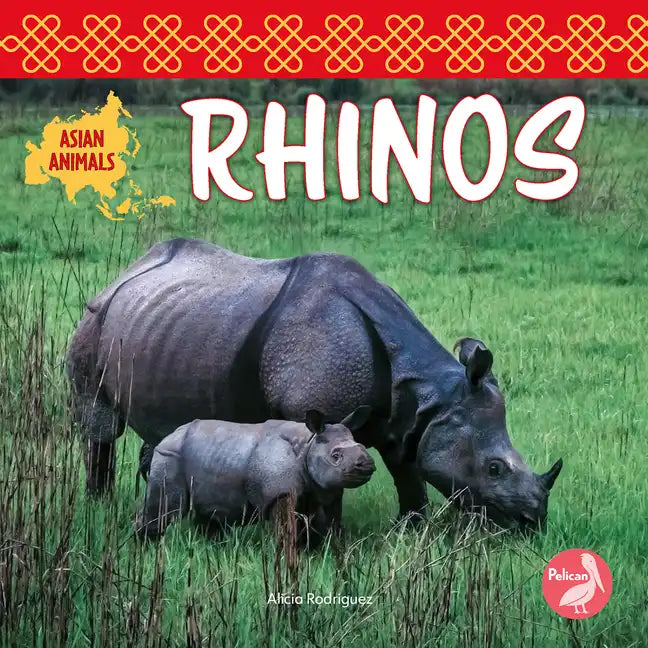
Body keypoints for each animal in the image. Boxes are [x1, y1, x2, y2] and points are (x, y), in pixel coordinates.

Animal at [135, 408, 375, 541]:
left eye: (363, 446)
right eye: (336, 456)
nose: (367, 464)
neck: (308, 444)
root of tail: (167, 437)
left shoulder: (322, 491)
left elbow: (324, 526)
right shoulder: (279, 492)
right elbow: (287, 531)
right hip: (169, 456)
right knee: (166, 510)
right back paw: (147, 546)